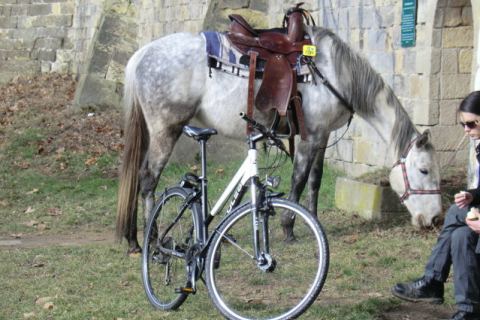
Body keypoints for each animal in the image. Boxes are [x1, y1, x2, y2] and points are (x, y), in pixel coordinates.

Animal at [115, 25, 442, 254]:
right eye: (424, 170)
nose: (436, 219)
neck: (335, 73)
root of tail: (141, 55)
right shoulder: (310, 136)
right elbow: (299, 179)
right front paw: (289, 229)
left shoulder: (323, 136)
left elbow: (315, 181)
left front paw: (313, 221)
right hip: (165, 130)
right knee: (148, 178)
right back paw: (150, 239)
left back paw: (132, 239)